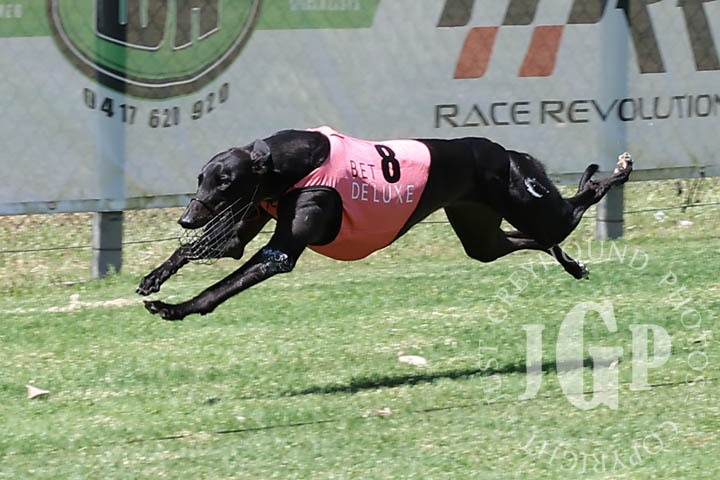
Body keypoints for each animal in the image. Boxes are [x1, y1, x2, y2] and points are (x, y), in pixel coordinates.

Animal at [138, 126, 633, 320]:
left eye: (224, 181)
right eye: (201, 178)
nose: (186, 216)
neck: (287, 164)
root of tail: (506, 151)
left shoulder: (279, 252)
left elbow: (224, 285)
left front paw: (176, 308)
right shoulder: (250, 218)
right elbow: (202, 249)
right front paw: (153, 279)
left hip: (531, 203)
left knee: (577, 205)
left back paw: (618, 171)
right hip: (480, 230)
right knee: (527, 241)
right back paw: (571, 263)